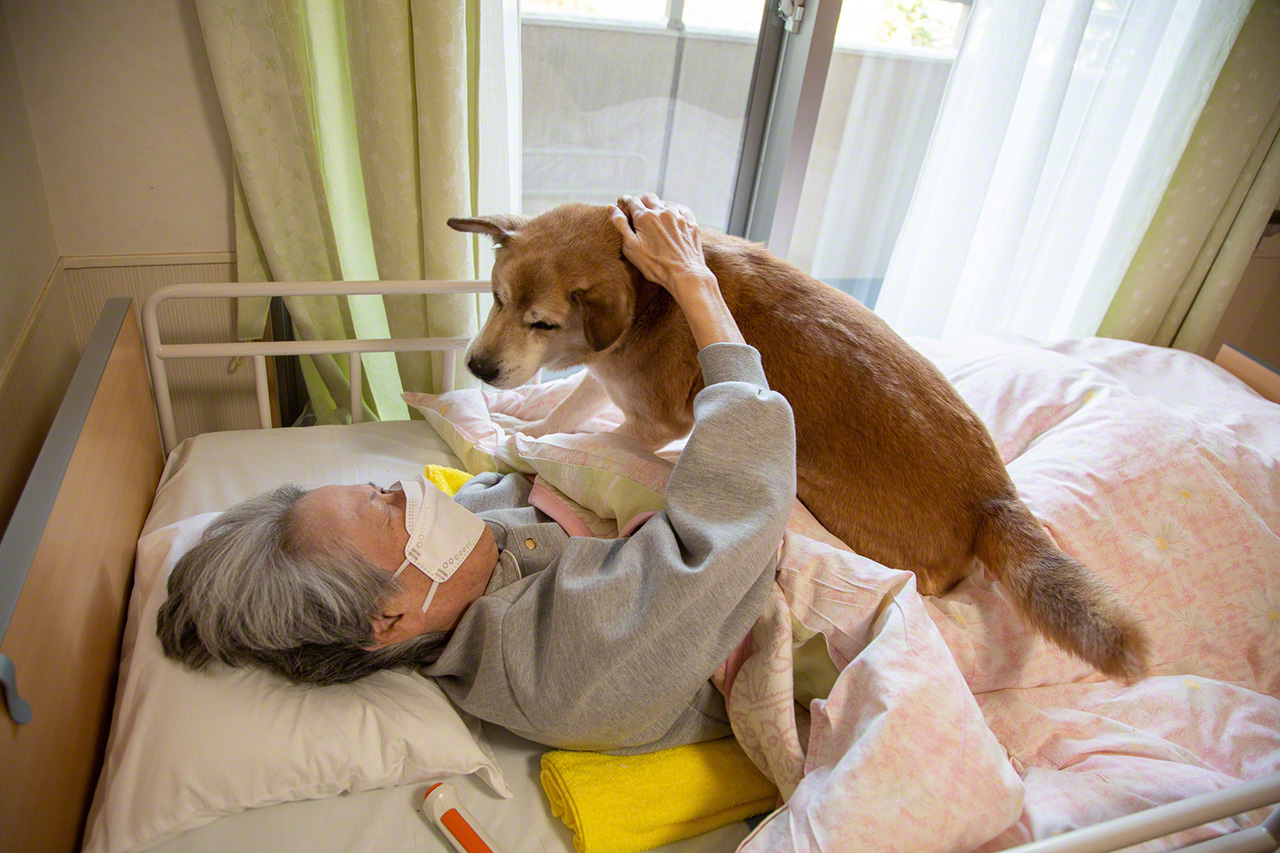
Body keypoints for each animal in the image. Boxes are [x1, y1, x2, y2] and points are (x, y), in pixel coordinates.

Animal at [450, 201, 1152, 676]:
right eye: (496, 298)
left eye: (541, 322)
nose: (478, 367)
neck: (647, 293)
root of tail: (992, 499)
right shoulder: (606, 382)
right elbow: (564, 408)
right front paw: (519, 424)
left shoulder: (649, 421)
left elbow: (583, 433)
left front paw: (525, 440)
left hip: (820, 498)